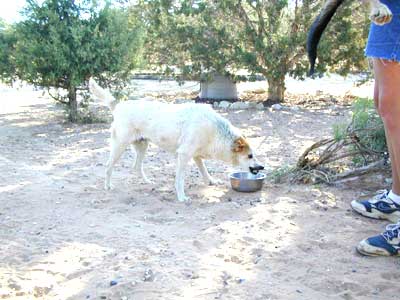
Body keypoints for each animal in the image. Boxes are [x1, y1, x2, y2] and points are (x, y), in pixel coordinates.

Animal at [89, 78, 264, 203]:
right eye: (250, 156)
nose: (261, 166)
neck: (216, 131)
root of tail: (119, 106)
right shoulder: (184, 155)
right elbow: (180, 179)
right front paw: (181, 197)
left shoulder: (196, 155)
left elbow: (204, 170)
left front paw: (210, 181)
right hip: (120, 145)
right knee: (108, 166)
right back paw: (108, 186)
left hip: (142, 146)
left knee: (136, 167)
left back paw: (147, 182)